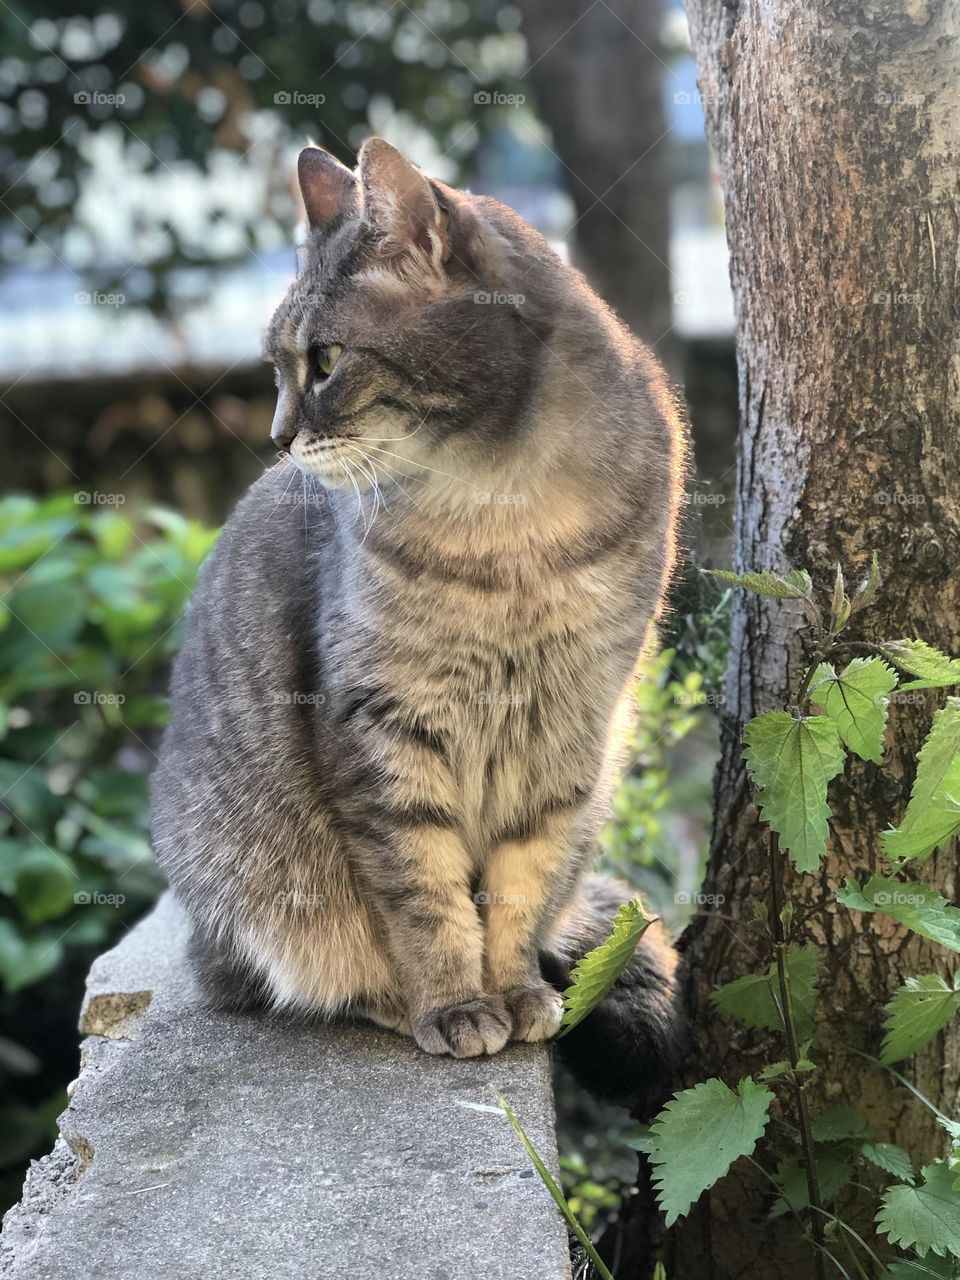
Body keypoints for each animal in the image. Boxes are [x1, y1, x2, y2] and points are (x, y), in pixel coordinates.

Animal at [152, 137, 686, 1100]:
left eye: (326, 359)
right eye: (277, 367)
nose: (279, 437)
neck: (508, 522)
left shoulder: (568, 730)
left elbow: (518, 883)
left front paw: (514, 989)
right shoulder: (383, 730)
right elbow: (425, 893)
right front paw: (453, 1003)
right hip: (251, 885)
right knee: (299, 978)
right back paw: (394, 1002)